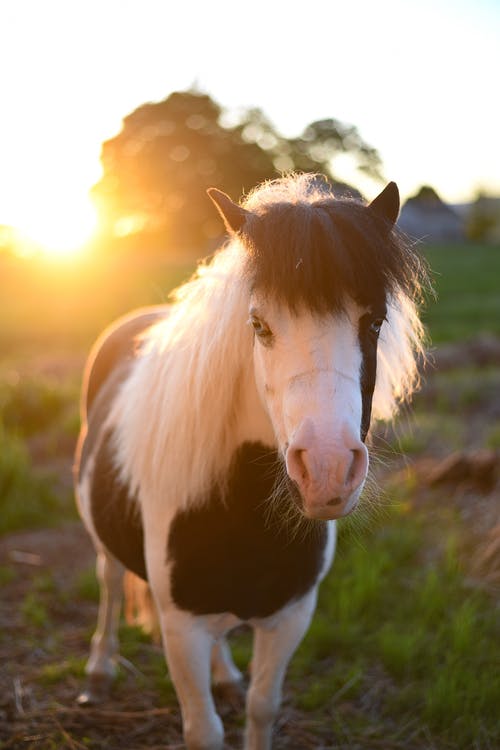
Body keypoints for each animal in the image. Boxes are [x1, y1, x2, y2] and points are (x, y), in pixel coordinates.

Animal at [74, 175, 426, 750]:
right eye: (258, 324)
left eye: (374, 322)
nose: (326, 470)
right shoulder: (182, 629)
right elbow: (205, 730)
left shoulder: (290, 618)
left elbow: (263, 708)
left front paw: (240, 690)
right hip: (104, 538)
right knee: (107, 581)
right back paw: (99, 670)